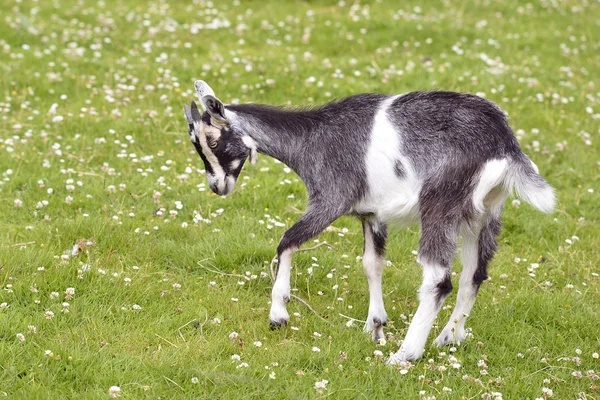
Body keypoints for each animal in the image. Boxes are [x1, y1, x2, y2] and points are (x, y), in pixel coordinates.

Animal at [183, 80, 552, 362]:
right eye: (196, 144)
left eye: (213, 140)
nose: (217, 186)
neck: (312, 138)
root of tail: (504, 144)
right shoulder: (372, 214)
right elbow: (372, 264)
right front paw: (375, 325)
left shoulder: (331, 198)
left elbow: (287, 240)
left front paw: (279, 314)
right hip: (485, 212)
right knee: (474, 274)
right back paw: (449, 337)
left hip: (441, 201)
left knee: (438, 280)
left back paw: (405, 355)